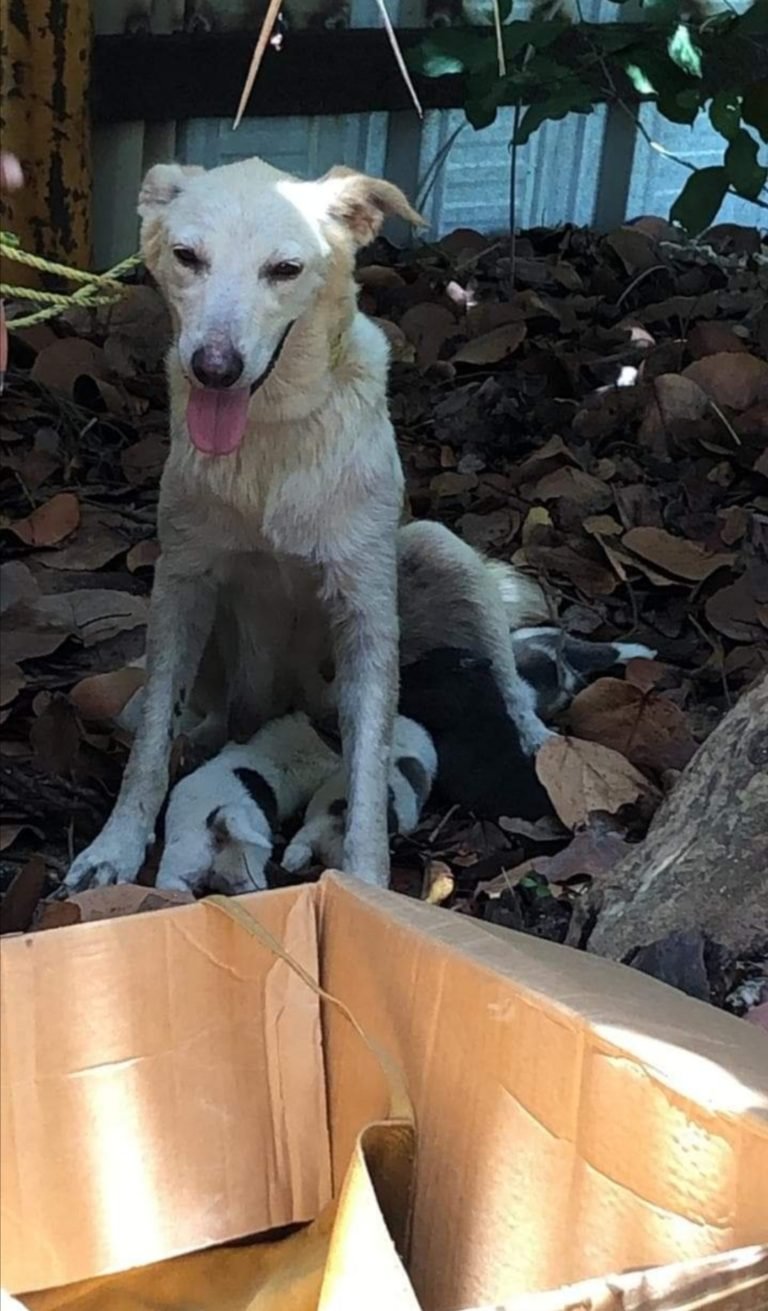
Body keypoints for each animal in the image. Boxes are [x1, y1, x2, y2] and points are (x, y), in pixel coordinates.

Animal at [64, 153, 545, 891]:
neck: (272, 432)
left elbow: (369, 772)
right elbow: (148, 741)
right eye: (187, 257)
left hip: (437, 550)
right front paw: (114, 846)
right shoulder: (181, 584)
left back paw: (539, 735)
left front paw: (367, 885)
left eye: (285, 269)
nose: (214, 368)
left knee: (509, 674)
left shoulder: (366, 612)